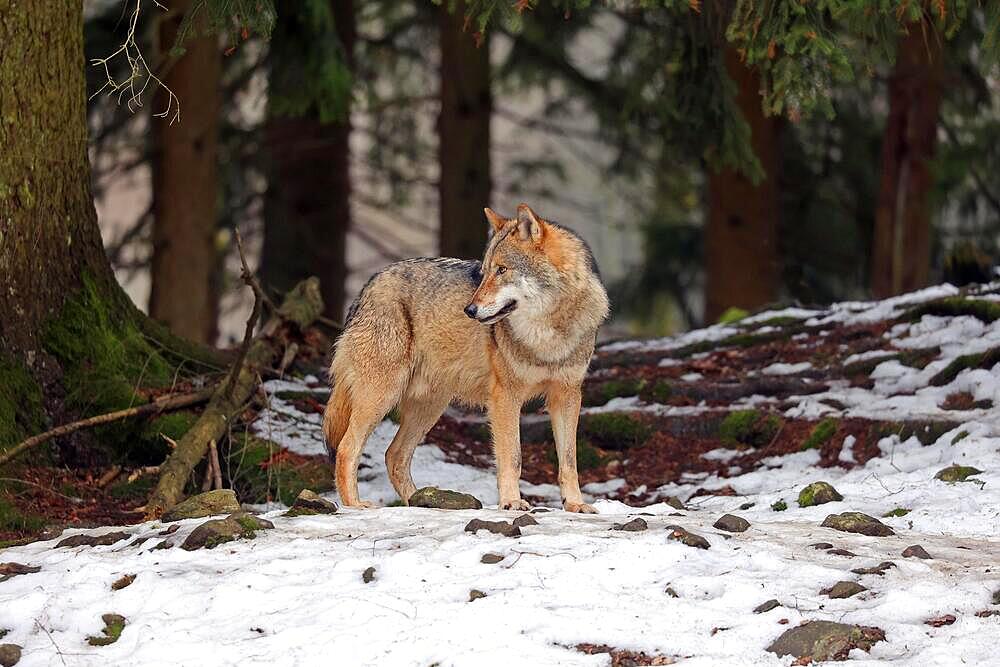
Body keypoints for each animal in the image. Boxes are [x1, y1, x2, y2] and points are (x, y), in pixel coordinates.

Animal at [326, 204, 608, 512]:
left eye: (502, 270)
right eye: (484, 272)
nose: (470, 310)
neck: (549, 335)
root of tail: (369, 285)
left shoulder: (568, 396)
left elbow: (569, 461)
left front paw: (576, 505)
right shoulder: (505, 397)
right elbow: (513, 457)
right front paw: (511, 502)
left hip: (429, 406)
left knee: (394, 455)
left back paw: (424, 502)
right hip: (382, 396)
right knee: (346, 449)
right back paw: (355, 505)